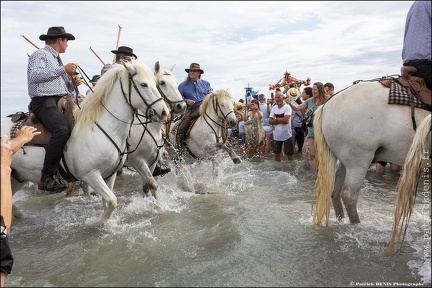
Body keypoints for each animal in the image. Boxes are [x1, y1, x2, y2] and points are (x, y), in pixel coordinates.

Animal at [2, 60, 169, 222]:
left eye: (157, 84)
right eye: (143, 84)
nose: (164, 112)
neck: (101, 127)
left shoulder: (110, 175)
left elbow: (110, 201)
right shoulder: (92, 175)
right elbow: (112, 201)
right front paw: (97, 223)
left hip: (17, 176)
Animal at [312, 80, 430, 231]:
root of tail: (326, 105)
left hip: (345, 163)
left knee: (335, 192)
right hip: (359, 162)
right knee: (349, 195)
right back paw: (356, 225)